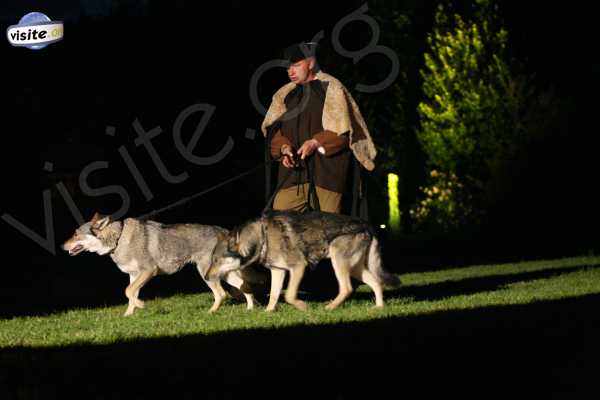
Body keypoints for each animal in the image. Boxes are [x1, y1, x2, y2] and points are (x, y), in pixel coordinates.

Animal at [206, 211, 398, 310]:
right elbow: (274, 295)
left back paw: (329, 308)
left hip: (339, 264)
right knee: (377, 283)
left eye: (216, 260)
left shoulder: (298, 267)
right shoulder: (278, 271)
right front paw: (268, 313)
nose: (206, 277)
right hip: (355, 269)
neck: (262, 238)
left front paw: (303, 307)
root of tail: (367, 225)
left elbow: (289, 295)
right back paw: (379, 308)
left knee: (347, 288)